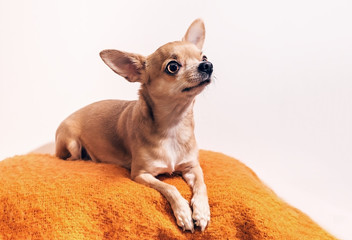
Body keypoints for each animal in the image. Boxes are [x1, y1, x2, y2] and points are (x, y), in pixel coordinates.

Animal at [55, 19, 212, 232]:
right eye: (173, 67)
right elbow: (169, 187)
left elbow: (202, 185)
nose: (208, 65)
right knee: (72, 158)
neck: (174, 124)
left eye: (204, 56)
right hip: (71, 142)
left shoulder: (192, 167)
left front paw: (201, 212)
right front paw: (184, 213)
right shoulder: (141, 174)